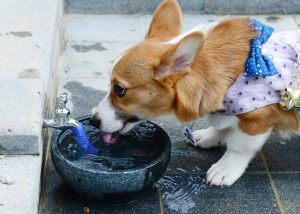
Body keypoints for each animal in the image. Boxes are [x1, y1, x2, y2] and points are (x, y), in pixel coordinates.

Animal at [90, 0, 300, 187]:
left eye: (119, 89)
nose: (93, 121)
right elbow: (224, 125)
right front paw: (210, 136)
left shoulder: (257, 119)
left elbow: (238, 147)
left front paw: (225, 169)